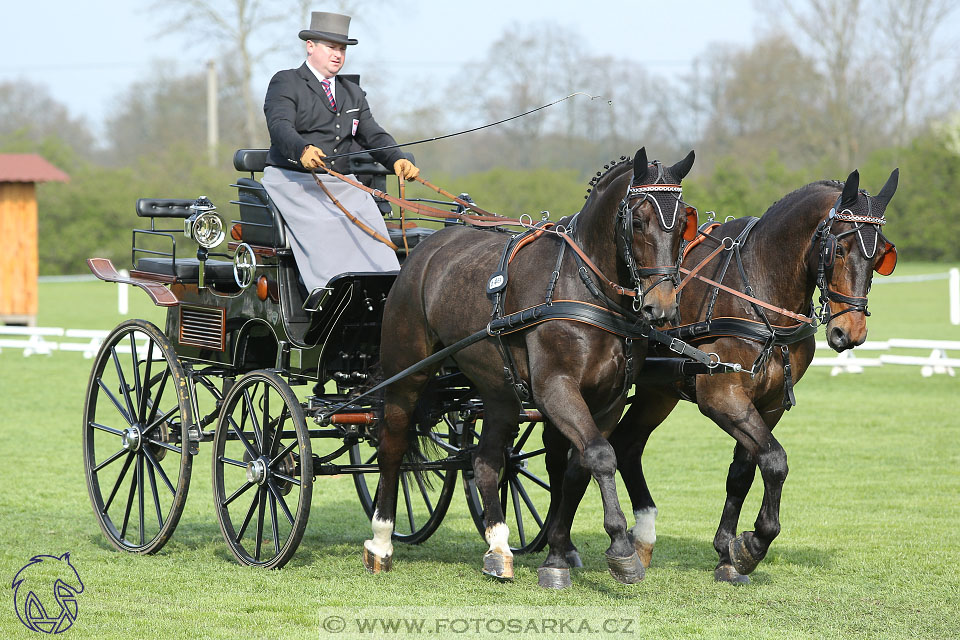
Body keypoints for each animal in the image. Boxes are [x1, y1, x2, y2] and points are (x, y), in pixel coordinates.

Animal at [364, 148, 692, 584]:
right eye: (637, 221)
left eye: (684, 224)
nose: (662, 307)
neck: (584, 288)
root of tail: (423, 248)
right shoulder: (556, 388)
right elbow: (601, 456)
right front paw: (621, 549)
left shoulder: (608, 400)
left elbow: (578, 468)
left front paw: (557, 553)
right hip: (408, 372)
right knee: (393, 445)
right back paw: (381, 541)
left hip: (499, 391)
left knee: (486, 460)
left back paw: (499, 548)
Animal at [544, 169, 904, 584]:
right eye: (839, 250)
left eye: (881, 256)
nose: (850, 333)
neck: (760, 289)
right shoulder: (722, 396)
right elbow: (775, 460)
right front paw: (753, 544)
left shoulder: (767, 405)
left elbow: (745, 470)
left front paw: (727, 554)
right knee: (569, 454)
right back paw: (562, 547)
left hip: (657, 393)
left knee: (625, 445)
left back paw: (641, 538)